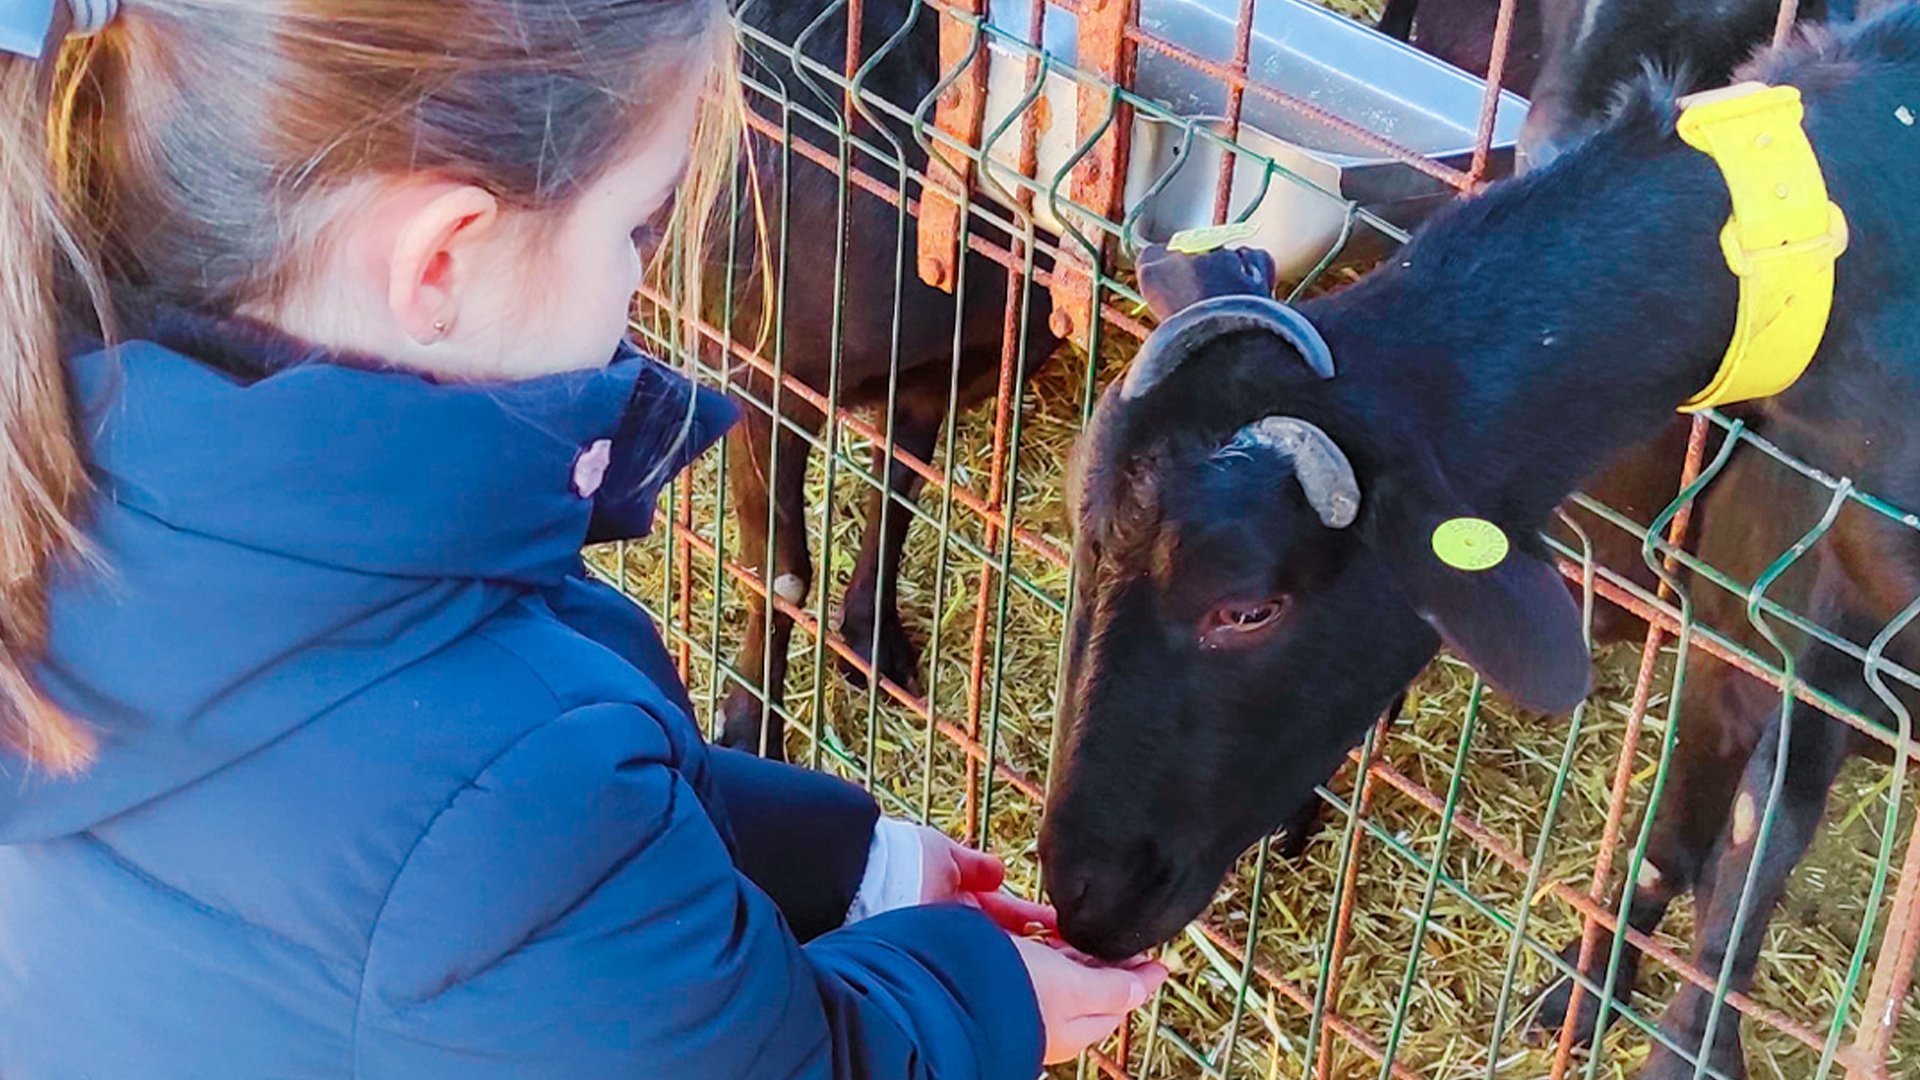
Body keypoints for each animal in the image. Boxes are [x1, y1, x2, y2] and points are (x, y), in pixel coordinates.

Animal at [714, 0, 1059, 757]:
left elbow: (896, 503)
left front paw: (873, 644)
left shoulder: (934, 381)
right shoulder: (764, 377)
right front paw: (749, 728)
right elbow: (780, 571)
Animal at [1052, 10, 1920, 1076]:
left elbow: (1754, 850)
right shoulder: (1759, 634)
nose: (1082, 897)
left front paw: (1686, 1047)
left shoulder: (1823, 652)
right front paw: (1595, 1000)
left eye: (1247, 607)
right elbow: (1698, 830)